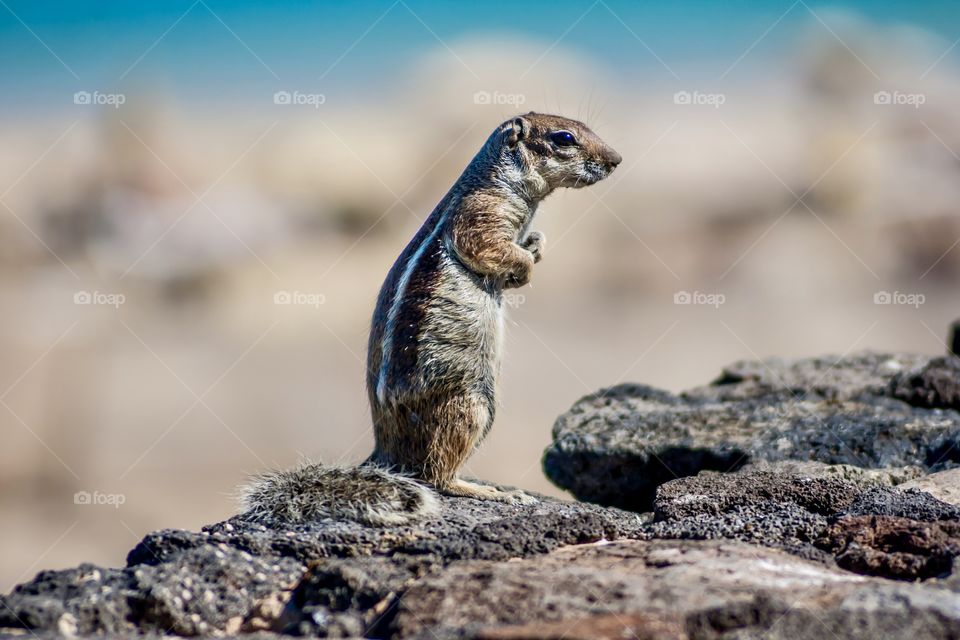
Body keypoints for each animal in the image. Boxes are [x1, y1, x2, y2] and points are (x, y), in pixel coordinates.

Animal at [240, 112, 621, 526]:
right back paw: (492, 491)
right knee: (436, 475)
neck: (498, 178)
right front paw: (525, 265)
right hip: (470, 405)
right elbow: (489, 249)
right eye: (564, 138)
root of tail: (386, 453)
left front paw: (535, 248)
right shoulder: (479, 215)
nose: (616, 160)